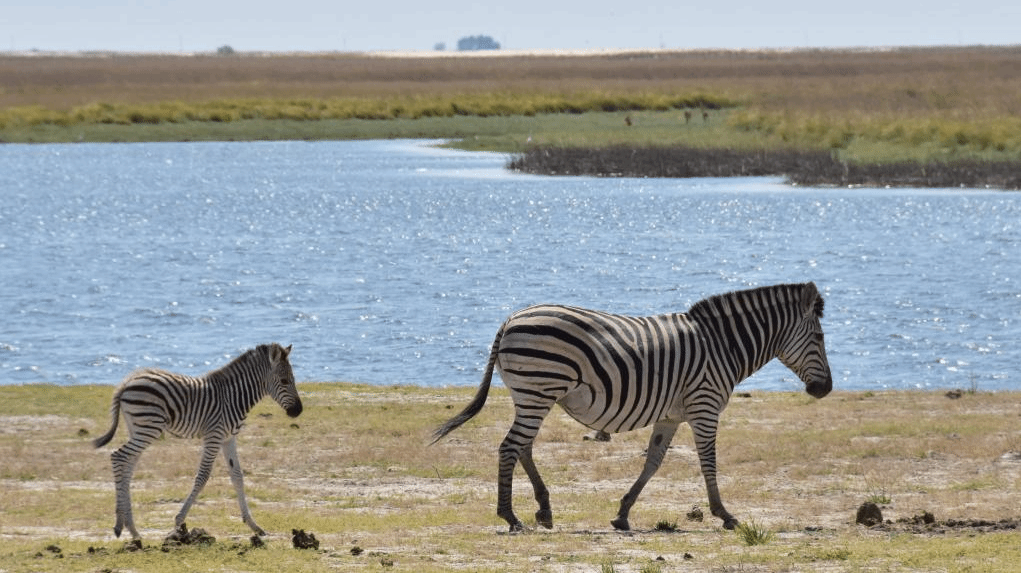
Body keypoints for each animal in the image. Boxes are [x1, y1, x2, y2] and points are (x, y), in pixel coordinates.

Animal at [92, 341, 300, 539]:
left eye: (294, 379)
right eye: (284, 381)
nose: (298, 411)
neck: (233, 397)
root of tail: (127, 382)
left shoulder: (228, 438)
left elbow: (237, 476)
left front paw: (253, 525)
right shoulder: (214, 436)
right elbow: (203, 476)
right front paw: (179, 522)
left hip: (137, 429)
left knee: (128, 464)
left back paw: (129, 528)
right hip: (148, 428)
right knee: (118, 457)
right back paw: (123, 526)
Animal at [430, 281, 829, 531]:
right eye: (820, 337)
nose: (825, 389)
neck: (722, 346)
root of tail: (511, 318)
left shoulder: (671, 415)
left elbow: (653, 462)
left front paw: (622, 514)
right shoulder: (705, 405)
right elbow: (708, 462)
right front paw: (725, 514)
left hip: (532, 395)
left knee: (522, 447)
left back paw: (543, 510)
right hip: (538, 389)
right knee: (510, 447)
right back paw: (511, 517)